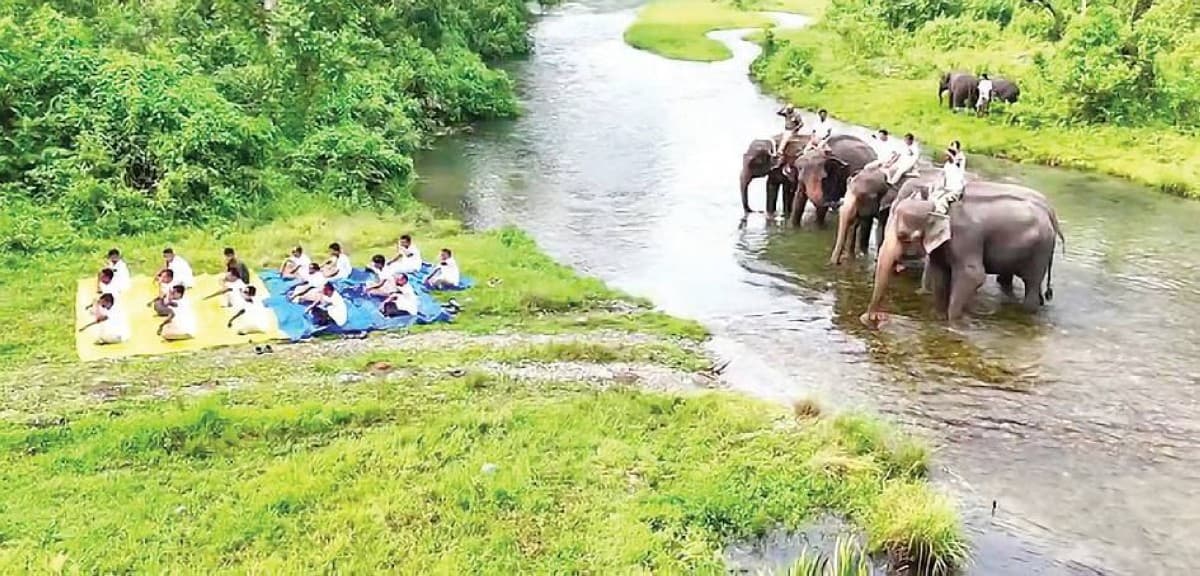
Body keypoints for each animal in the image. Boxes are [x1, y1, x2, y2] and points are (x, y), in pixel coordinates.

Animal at [860, 182, 1065, 327]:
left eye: (904, 236)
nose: (873, 317)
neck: (937, 204)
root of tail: (1051, 215)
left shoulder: (965, 238)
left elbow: (973, 275)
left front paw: (953, 323)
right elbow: (940, 274)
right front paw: (938, 318)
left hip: (1040, 250)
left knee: (1031, 284)